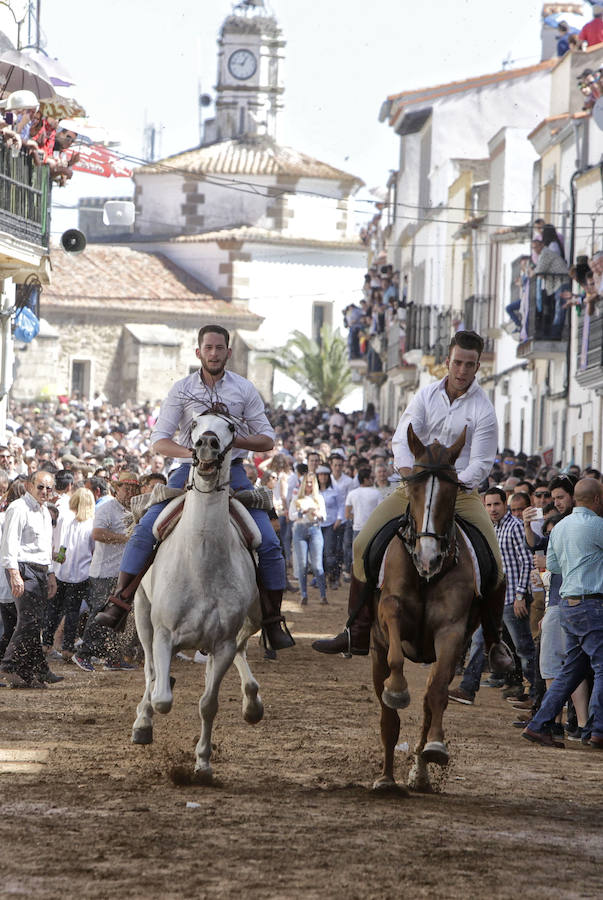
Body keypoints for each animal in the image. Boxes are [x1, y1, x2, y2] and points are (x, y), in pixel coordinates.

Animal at [131, 410, 264, 780]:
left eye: (231, 426)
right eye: (194, 425)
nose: (207, 443)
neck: (201, 558)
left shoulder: (223, 642)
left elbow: (209, 703)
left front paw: (202, 763)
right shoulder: (163, 634)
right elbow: (161, 696)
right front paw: (149, 715)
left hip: (250, 621)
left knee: (240, 650)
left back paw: (252, 704)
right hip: (141, 614)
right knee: (148, 670)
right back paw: (142, 722)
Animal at [372, 426, 482, 792]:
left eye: (451, 490)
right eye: (414, 487)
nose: (428, 556)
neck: (425, 576)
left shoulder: (451, 632)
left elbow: (435, 694)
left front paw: (436, 747)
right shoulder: (389, 613)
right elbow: (394, 651)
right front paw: (397, 689)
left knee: (429, 699)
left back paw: (419, 771)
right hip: (375, 650)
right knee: (387, 718)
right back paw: (386, 778)